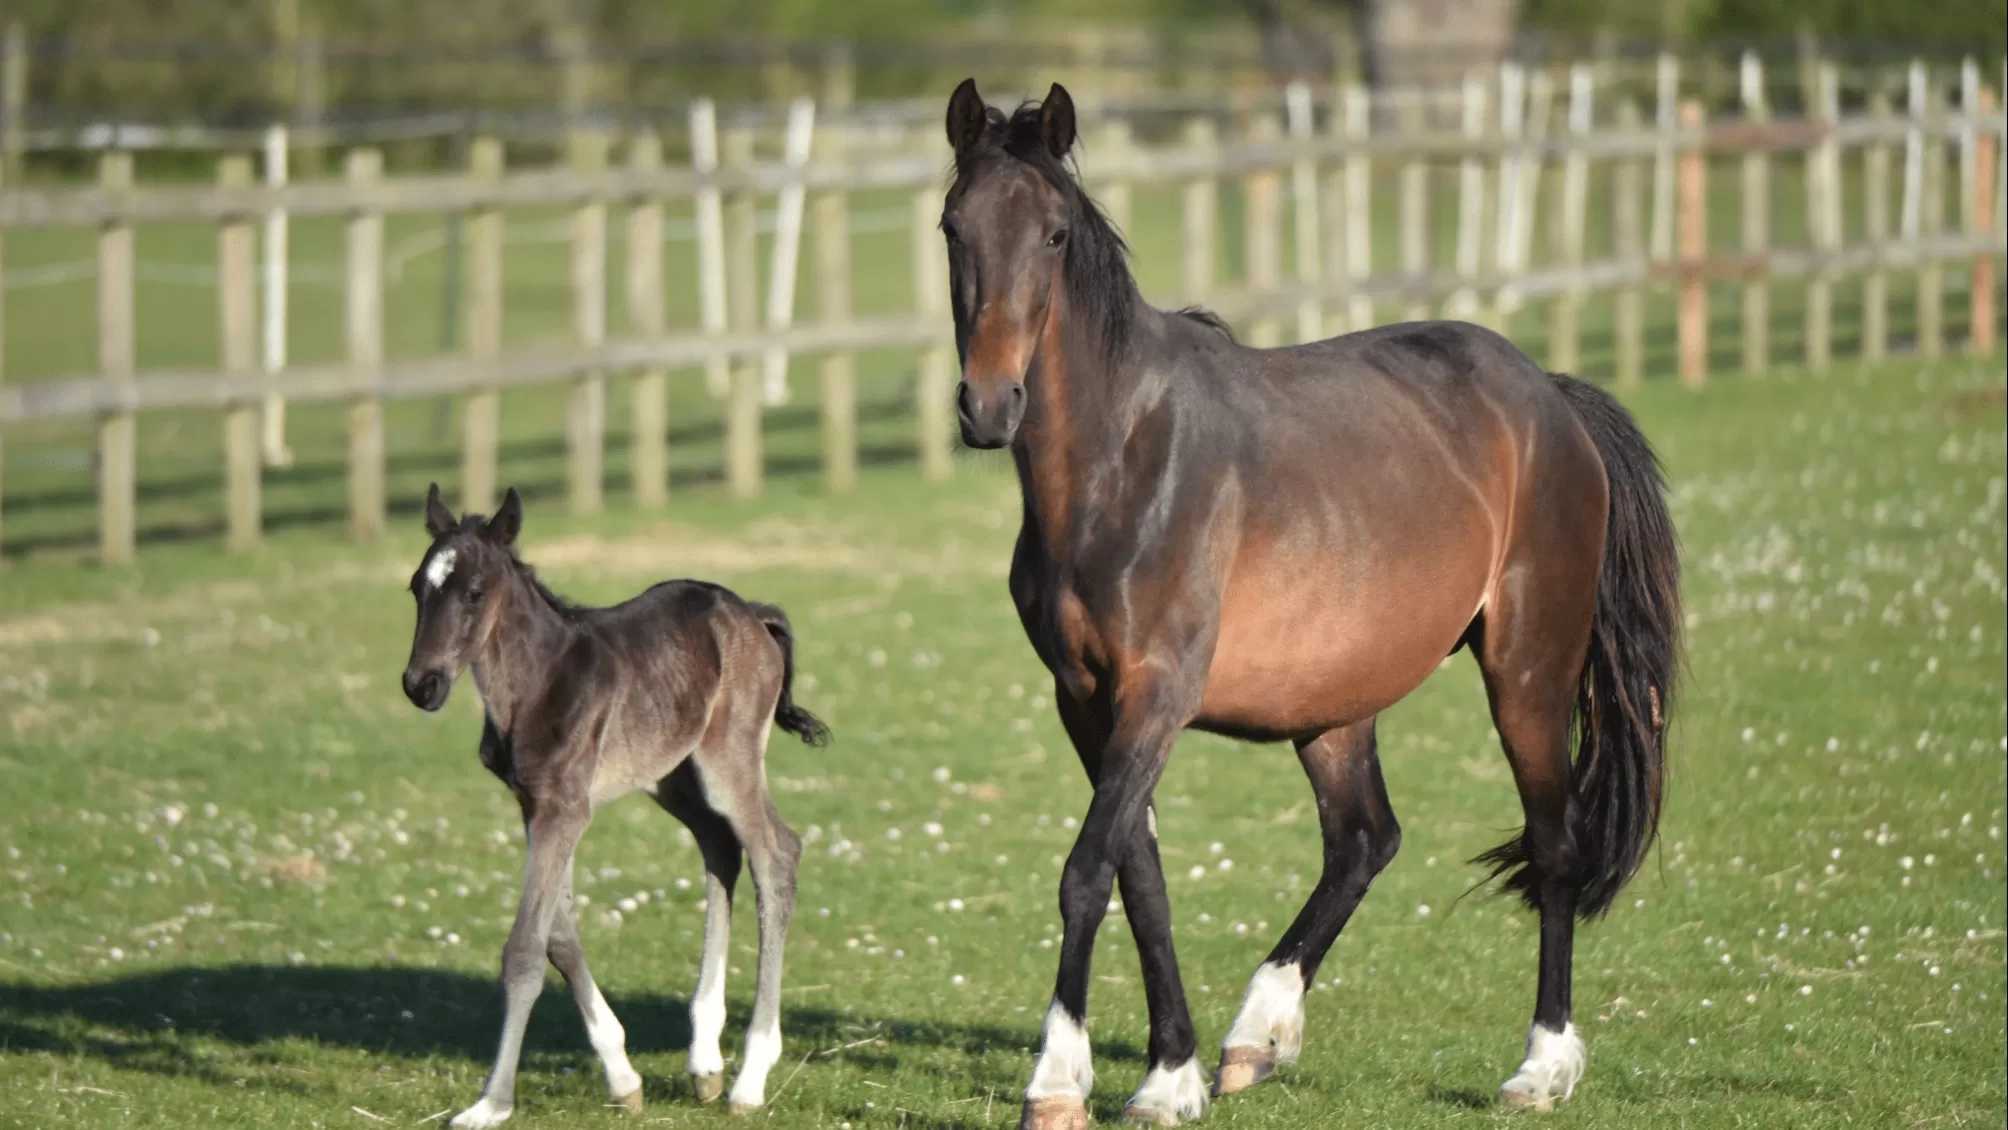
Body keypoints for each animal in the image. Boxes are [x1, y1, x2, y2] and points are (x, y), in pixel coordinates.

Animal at [403, 485, 827, 1130]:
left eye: (474, 592)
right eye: (416, 588)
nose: (420, 685)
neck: (534, 684)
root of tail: (751, 613)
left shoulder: (563, 810)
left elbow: (525, 949)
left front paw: (491, 1102)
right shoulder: (537, 806)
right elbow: (558, 936)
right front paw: (623, 1077)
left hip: (727, 763)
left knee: (777, 855)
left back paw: (750, 1078)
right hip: (674, 776)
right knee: (721, 850)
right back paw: (705, 1061)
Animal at [935, 81, 1678, 1130]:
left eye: (1052, 233)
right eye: (954, 228)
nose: (989, 406)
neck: (1123, 462)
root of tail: (1551, 399)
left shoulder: (1156, 695)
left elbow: (1086, 874)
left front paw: (1059, 1081)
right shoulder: (1085, 701)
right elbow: (1140, 878)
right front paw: (1170, 1073)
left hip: (1527, 674)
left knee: (1555, 847)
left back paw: (1540, 1067)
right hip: (1334, 704)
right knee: (1364, 839)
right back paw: (1258, 1034)